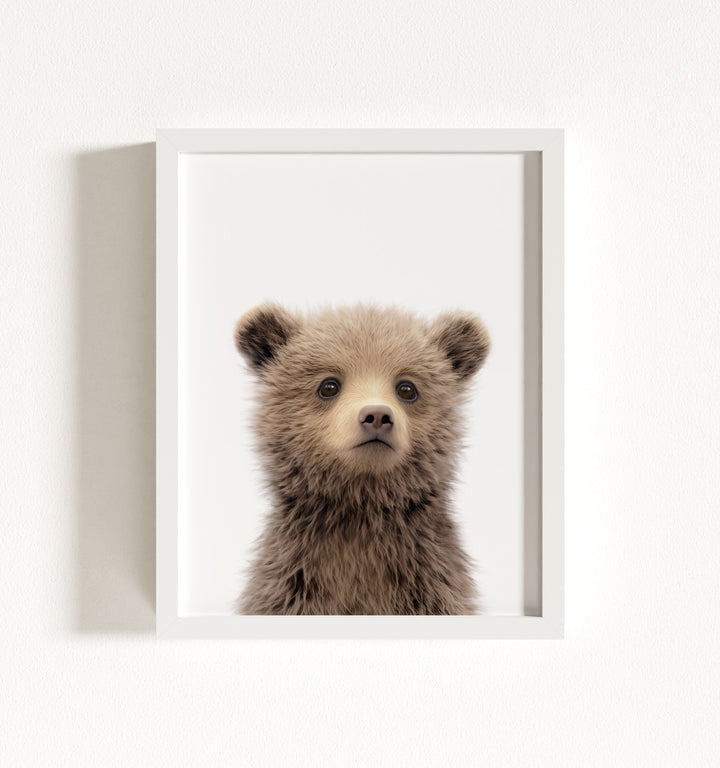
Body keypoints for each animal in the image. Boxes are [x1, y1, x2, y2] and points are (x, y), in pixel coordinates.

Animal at [233, 303, 490, 615]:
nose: (377, 415)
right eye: (328, 386)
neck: (360, 509)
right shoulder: (292, 584)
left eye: (407, 388)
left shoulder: (429, 583)